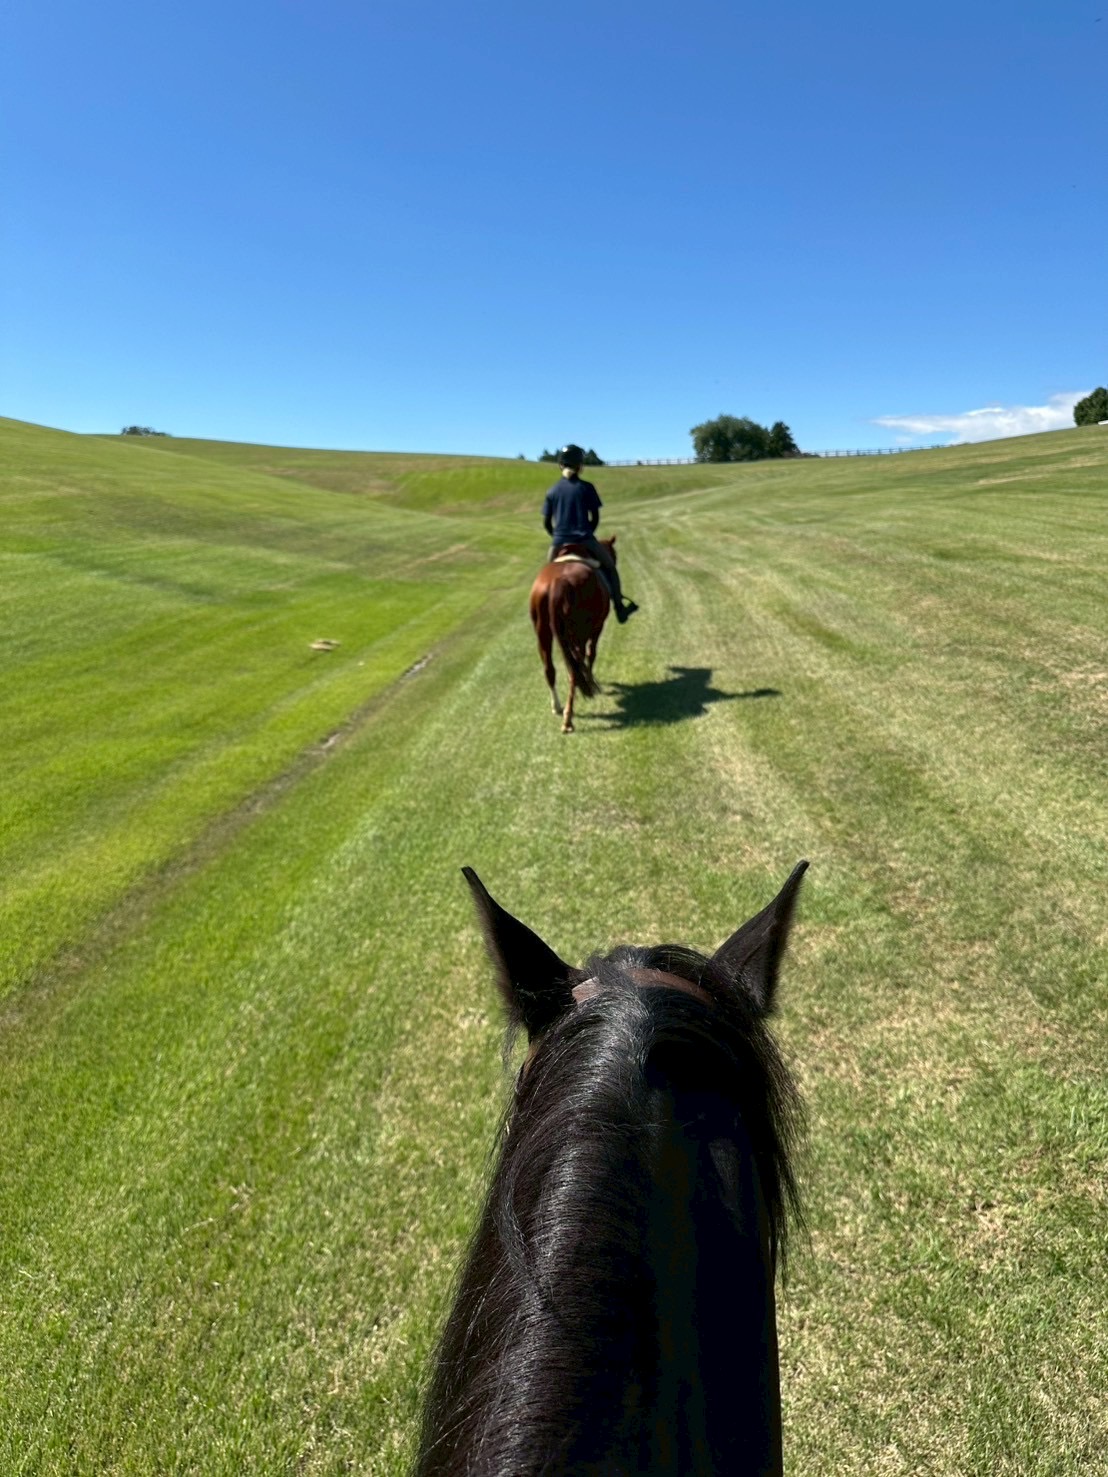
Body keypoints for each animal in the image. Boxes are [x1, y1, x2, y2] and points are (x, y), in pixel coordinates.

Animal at [529, 537, 616, 734]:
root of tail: (558, 582)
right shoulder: (596, 628)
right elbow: (591, 654)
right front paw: (591, 682)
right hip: (579, 632)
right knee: (576, 666)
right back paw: (568, 718)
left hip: (543, 632)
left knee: (550, 669)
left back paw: (558, 707)